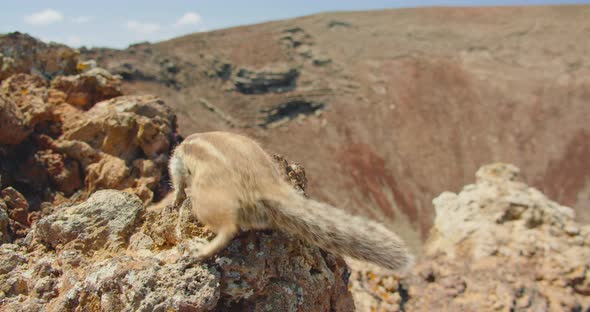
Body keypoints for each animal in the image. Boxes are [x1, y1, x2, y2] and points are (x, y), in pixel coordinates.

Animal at [169, 131, 414, 270]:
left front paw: (176, 198)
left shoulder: (178, 160)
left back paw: (199, 250)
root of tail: (266, 185)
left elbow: (177, 178)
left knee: (229, 229)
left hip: (206, 199)